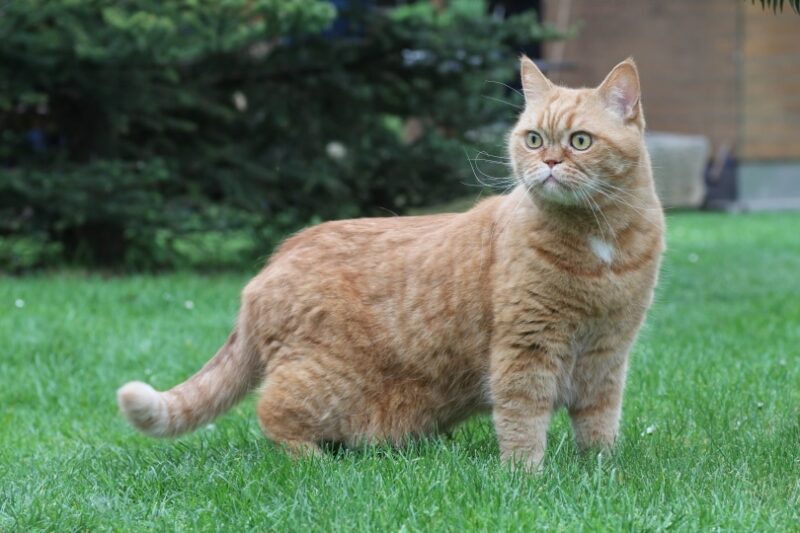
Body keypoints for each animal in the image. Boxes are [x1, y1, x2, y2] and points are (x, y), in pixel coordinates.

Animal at [119, 56, 664, 468]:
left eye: (579, 141)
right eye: (533, 139)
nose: (548, 163)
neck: (599, 243)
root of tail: (272, 263)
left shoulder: (608, 353)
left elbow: (599, 420)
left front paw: (599, 469)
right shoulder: (525, 349)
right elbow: (523, 419)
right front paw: (525, 474)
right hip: (323, 386)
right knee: (271, 412)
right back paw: (312, 460)